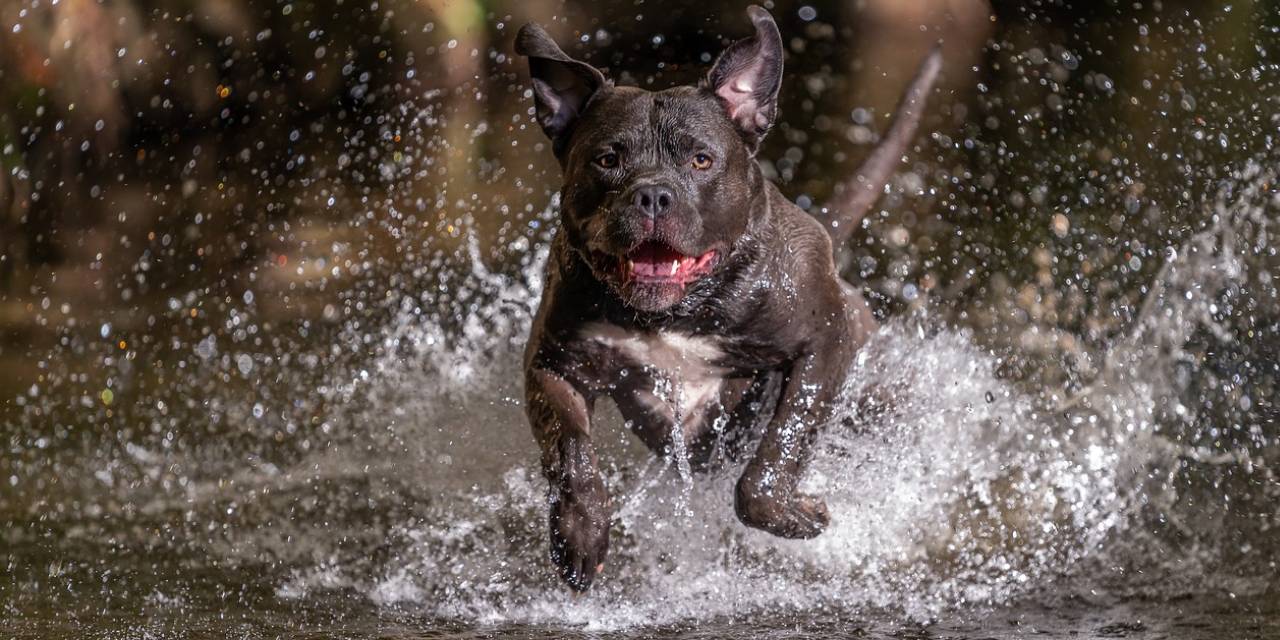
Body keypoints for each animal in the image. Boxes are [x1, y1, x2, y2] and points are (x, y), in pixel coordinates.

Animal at [514, 5, 947, 588]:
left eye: (701, 160)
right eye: (607, 159)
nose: (653, 194)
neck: (676, 314)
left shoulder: (825, 340)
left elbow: (779, 449)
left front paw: (795, 512)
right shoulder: (554, 364)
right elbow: (570, 451)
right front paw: (580, 533)